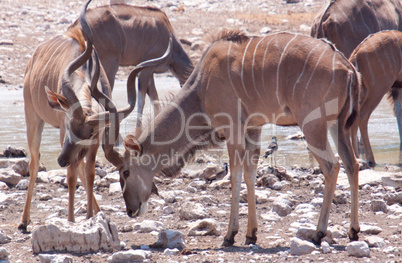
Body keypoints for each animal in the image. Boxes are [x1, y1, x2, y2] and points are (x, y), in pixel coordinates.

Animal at [19, 0, 170, 231]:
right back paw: (24, 221)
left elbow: (89, 174)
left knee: (80, 167)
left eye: (89, 134)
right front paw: (71, 220)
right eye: (70, 127)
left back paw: (96, 210)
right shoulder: (63, 134)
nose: (61, 160)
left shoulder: (95, 141)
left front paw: (91, 216)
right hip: (32, 117)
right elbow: (71, 176)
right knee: (35, 162)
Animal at [68, 3, 194, 136]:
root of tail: (77, 25)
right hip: (109, 64)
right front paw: (138, 130)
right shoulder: (146, 67)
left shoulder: (148, 69)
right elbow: (142, 99)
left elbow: (154, 98)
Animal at [104, 31, 362, 248]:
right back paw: (353, 231)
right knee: (352, 164)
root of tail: (347, 66)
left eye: (126, 172)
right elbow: (250, 173)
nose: (131, 210)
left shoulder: (233, 130)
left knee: (332, 166)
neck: (202, 85)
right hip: (337, 127)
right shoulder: (254, 128)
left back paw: (319, 233)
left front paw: (230, 235)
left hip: (313, 126)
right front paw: (251, 234)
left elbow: (235, 175)